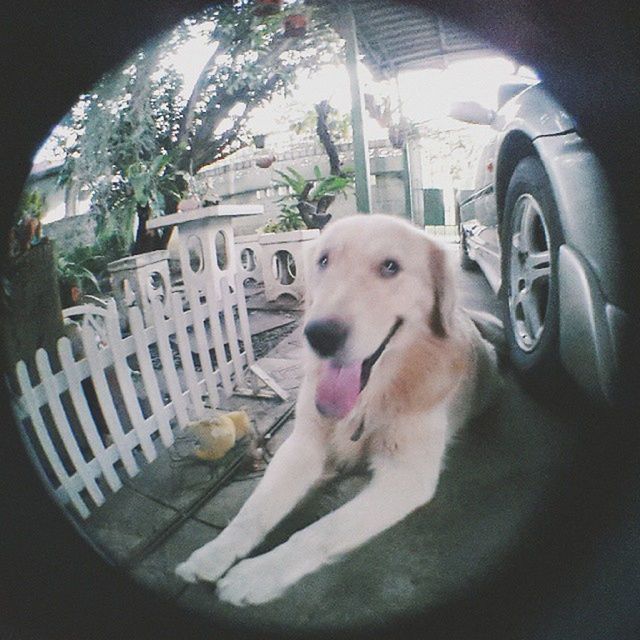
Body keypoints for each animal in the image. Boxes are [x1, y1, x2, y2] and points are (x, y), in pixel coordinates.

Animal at [176, 214, 500, 604]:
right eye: (324, 261)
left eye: (390, 266)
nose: (319, 335)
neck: (368, 398)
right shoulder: (302, 446)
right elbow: (254, 511)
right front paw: (214, 553)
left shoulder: (405, 477)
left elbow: (319, 533)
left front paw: (257, 574)